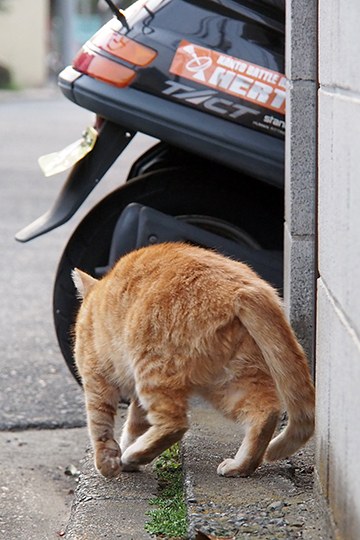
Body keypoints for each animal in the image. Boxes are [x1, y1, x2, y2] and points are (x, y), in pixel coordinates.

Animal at [72, 243, 316, 478]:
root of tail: (244, 286)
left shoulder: (95, 379)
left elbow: (99, 424)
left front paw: (108, 462)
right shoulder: (132, 398)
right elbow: (135, 424)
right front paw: (124, 457)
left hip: (154, 370)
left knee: (176, 424)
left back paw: (135, 454)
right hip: (231, 377)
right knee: (265, 413)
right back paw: (240, 466)